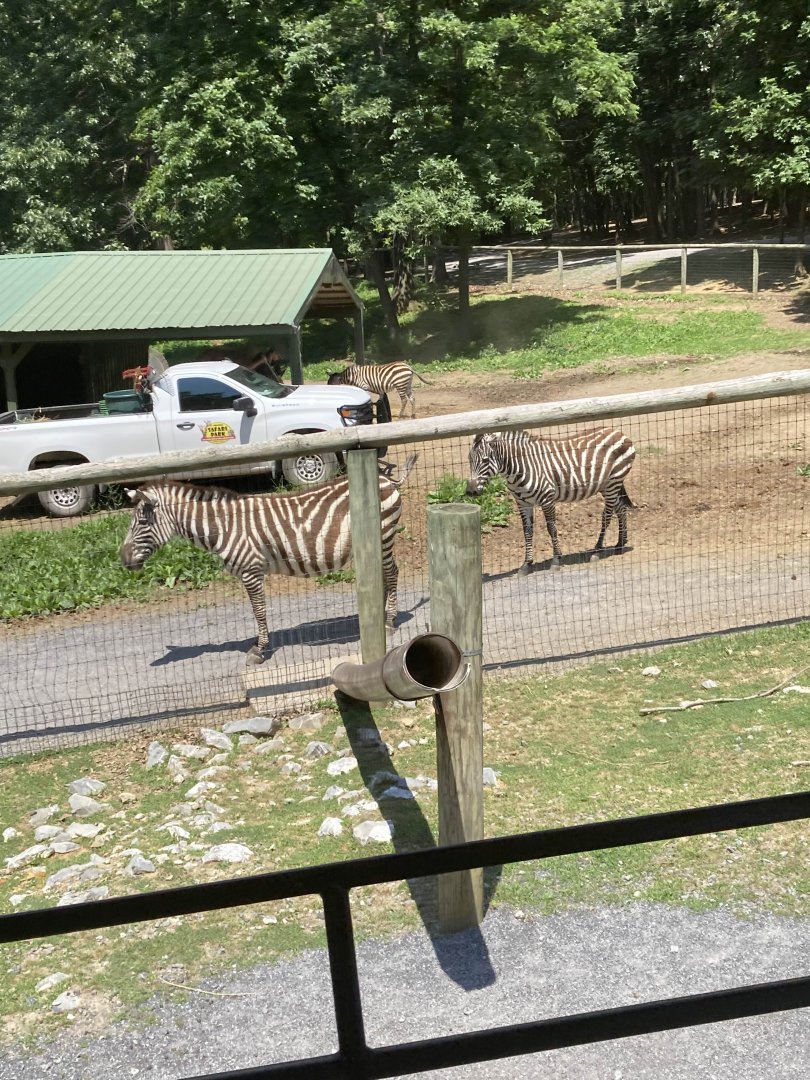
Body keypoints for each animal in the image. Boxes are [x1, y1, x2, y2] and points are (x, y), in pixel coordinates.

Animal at [119, 455, 418, 660]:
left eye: (141, 523)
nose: (123, 560)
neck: (225, 526)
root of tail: (388, 479)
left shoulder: (251, 571)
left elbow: (259, 610)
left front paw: (259, 649)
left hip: (384, 535)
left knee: (392, 572)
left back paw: (389, 621)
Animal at [466, 428, 636, 573]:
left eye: (485, 460)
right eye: (469, 459)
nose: (470, 491)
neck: (520, 468)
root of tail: (619, 432)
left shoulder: (547, 499)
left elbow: (551, 528)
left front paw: (556, 560)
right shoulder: (522, 503)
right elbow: (527, 531)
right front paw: (526, 564)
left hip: (613, 482)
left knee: (607, 516)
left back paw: (598, 550)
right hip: (607, 486)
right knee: (620, 508)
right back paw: (620, 543)